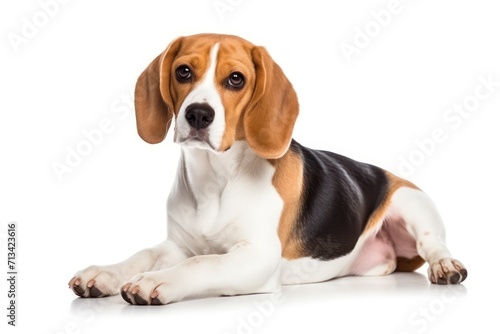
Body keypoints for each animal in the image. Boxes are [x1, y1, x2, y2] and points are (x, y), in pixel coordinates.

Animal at [68, 33, 466, 306]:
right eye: (183, 71)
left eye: (236, 79)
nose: (198, 114)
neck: (216, 178)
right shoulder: (179, 245)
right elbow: (144, 255)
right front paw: (104, 273)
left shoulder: (257, 256)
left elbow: (203, 264)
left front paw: (155, 281)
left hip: (412, 203)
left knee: (434, 244)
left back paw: (446, 266)